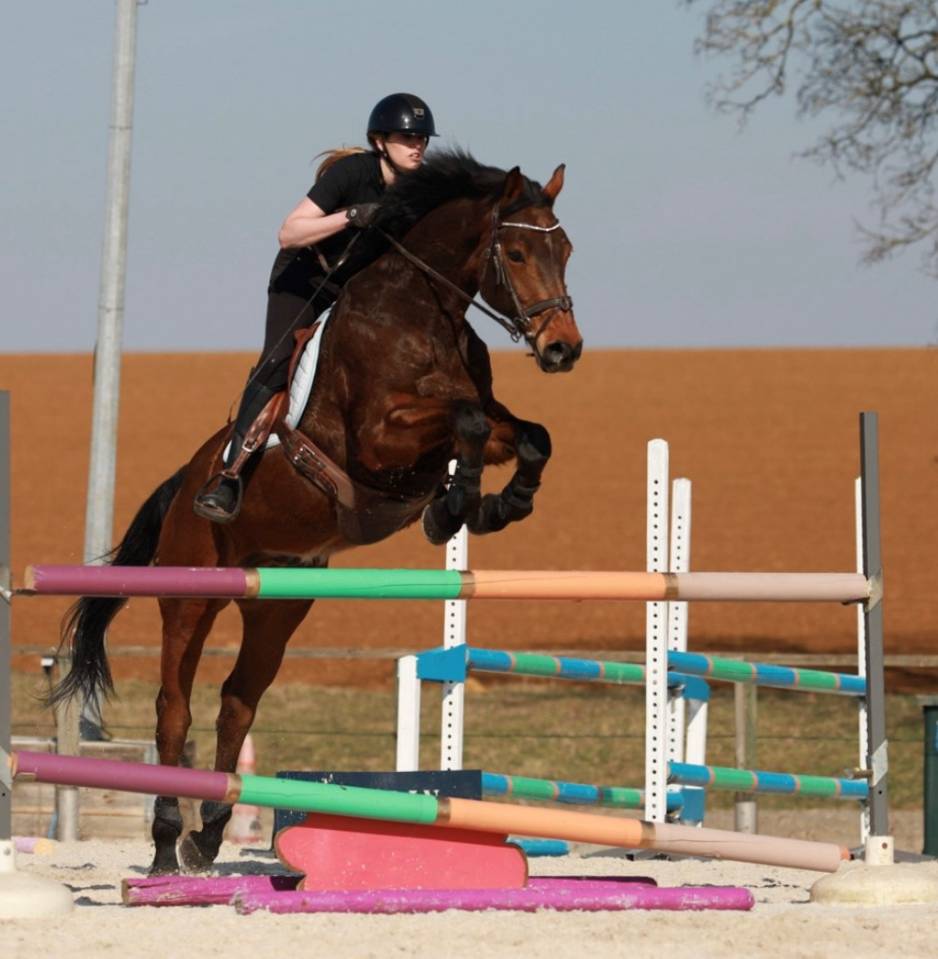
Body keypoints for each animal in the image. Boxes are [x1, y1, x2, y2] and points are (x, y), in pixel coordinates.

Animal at [52, 150, 583, 875]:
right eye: (520, 250)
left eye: (567, 249)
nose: (564, 347)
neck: (421, 311)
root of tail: (183, 483)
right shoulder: (379, 437)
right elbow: (466, 420)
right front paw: (455, 506)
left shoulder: (479, 422)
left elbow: (529, 435)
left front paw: (496, 503)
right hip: (191, 595)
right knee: (173, 710)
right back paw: (165, 843)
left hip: (277, 606)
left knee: (237, 705)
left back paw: (207, 837)